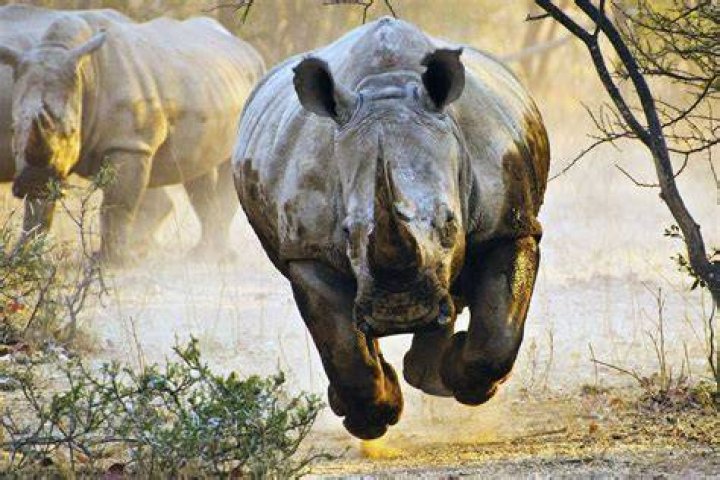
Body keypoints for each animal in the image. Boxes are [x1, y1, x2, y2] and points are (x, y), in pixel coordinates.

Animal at [233, 17, 549, 439]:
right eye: (346, 233)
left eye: (451, 223)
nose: (400, 312)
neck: (387, 87)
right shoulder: (307, 250)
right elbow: (343, 348)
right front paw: (371, 419)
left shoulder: (510, 223)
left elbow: (497, 334)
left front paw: (466, 383)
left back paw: (431, 376)